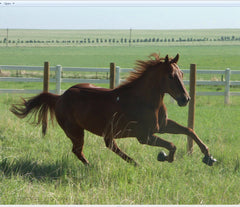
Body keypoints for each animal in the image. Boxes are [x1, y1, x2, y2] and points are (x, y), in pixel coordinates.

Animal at [9, 53, 216, 167]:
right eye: (171, 76)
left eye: (181, 73)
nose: (185, 99)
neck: (144, 101)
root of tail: (59, 97)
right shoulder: (144, 136)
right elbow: (172, 145)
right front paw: (164, 157)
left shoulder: (162, 126)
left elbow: (189, 130)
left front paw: (208, 155)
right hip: (75, 131)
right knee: (79, 150)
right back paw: (94, 165)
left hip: (104, 131)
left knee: (109, 145)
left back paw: (133, 163)